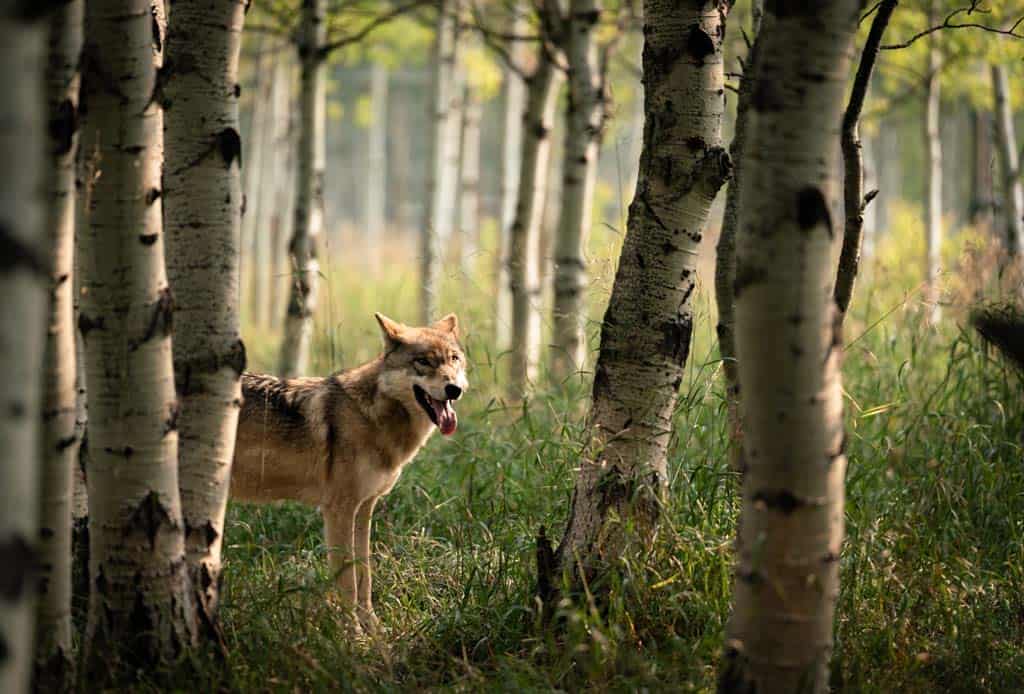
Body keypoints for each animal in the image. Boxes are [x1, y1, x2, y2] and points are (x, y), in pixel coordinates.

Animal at [230, 313, 466, 634]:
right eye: (423, 362)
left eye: (454, 359)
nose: (454, 389)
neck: (372, 416)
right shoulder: (338, 510)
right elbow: (348, 584)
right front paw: (353, 636)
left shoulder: (364, 509)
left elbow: (364, 576)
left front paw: (374, 630)